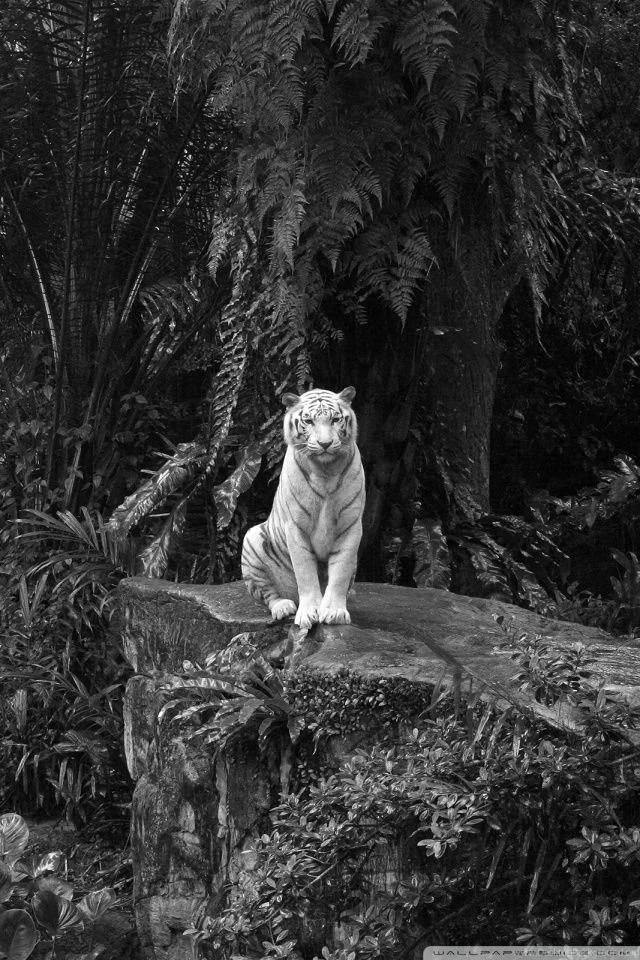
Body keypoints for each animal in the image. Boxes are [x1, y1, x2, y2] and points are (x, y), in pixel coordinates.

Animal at [241, 386, 365, 629]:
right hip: (252, 540)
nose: (325, 444)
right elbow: (305, 572)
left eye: (335, 419)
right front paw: (310, 612)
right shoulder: (295, 527)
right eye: (308, 421)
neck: (326, 470)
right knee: (268, 594)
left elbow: (341, 570)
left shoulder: (351, 525)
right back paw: (283, 607)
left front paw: (334, 611)